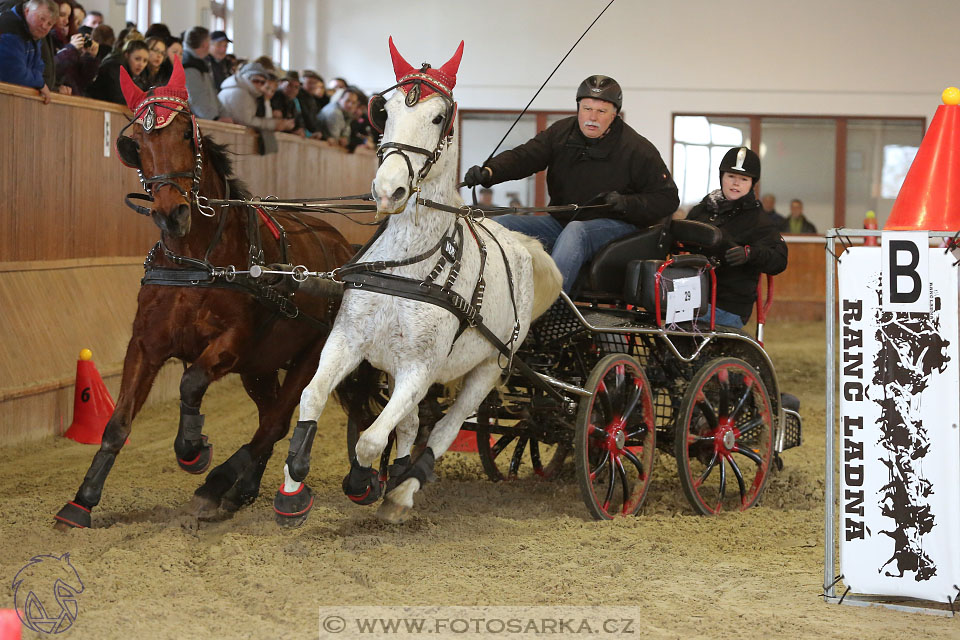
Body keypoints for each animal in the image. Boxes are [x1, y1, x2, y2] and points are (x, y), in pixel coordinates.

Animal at [51, 57, 356, 528]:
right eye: (136, 143)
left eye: (184, 133)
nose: (171, 213)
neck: (197, 262)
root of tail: (341, 248)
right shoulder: (146, 344)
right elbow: (117, 423)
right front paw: (82, 500)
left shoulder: (233, 341)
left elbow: (191, 382)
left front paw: (193, 451)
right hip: (260, 367)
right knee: (270, 416)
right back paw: (242, 489)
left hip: (311, 355)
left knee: (276, 422)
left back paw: (222, 486)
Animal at [270, 36, 564, 524]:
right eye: (384, 110)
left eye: (439, 117)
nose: (388, 189)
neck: (409, 266)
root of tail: (523, 243)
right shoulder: (348, 341)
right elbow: (313, 398)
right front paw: (292, 491)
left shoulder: (421, 368)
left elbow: (371, 439)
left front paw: (365, 483)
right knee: (409, 422)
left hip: (489, 366)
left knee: (445, 427)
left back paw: (404, 490)